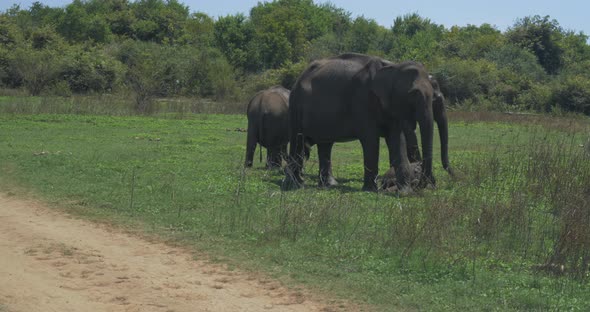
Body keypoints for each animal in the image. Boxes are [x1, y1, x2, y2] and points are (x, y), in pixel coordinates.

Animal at [284, 52, 438, 191]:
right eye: (413, 94)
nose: (420, 185)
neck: (393, 67)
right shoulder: (363, 102)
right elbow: (370, 140)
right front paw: (370, 190)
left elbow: (397, 140)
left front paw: (404, 192)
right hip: (296, 105)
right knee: (298, 140)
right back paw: (295, 185)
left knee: (325, 144)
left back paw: (328, 185)